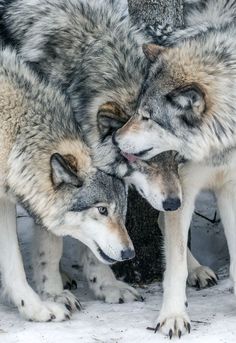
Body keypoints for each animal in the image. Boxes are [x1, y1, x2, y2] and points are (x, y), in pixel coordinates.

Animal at [0, 0, 218, 312]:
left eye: (177, 157)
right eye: (142, 156)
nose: (174, 202)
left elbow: (111, 234)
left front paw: (107, 285)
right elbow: (54, 242)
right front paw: (53, 294)